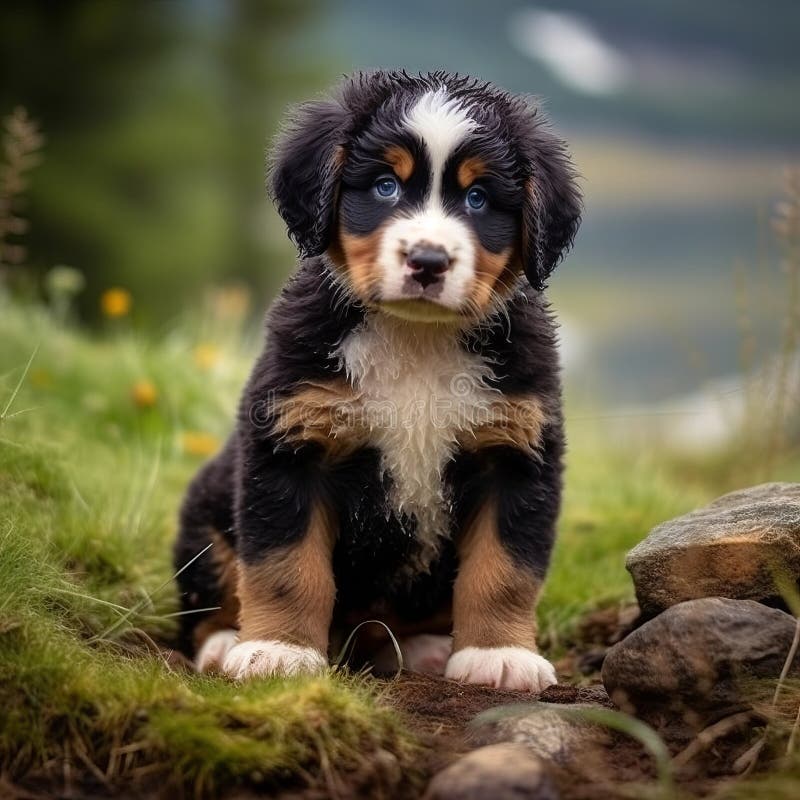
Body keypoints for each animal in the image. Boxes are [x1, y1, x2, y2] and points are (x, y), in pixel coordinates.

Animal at [173, 72, 580, 692]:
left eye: (479, 198)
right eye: (386, 186)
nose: (429, 261)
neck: (416, 338)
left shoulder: (516, 453)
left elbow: (504, 571)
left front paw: (499, 655)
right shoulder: (290, 445)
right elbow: (285, 565)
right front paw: (277, 651)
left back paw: (426, 650)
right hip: (206, 515)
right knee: (212, 595)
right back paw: (225, 643)